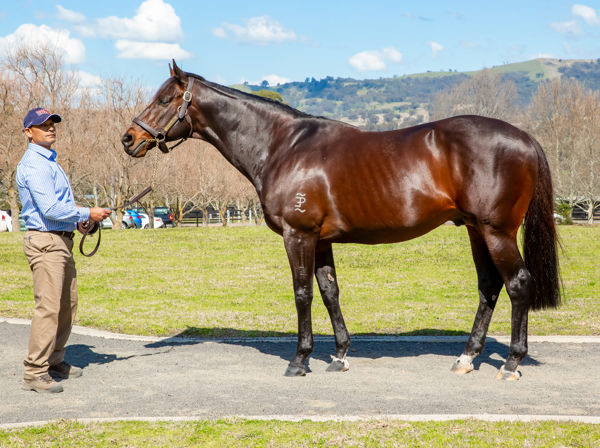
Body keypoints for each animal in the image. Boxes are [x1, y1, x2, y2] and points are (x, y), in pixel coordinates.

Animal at [123, 60, 564, 382]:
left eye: (165, 99)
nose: (129, 139)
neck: (283, 145)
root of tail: (526, 138)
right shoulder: (320, 240)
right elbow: (329, 291)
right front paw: (338, 355)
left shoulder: (297, 236)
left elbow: (302, 293)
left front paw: (299, 360)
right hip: (476, 229)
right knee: (489, 287)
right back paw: (467, 358)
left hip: (497, 231)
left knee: (518, 283)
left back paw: (511, 363)